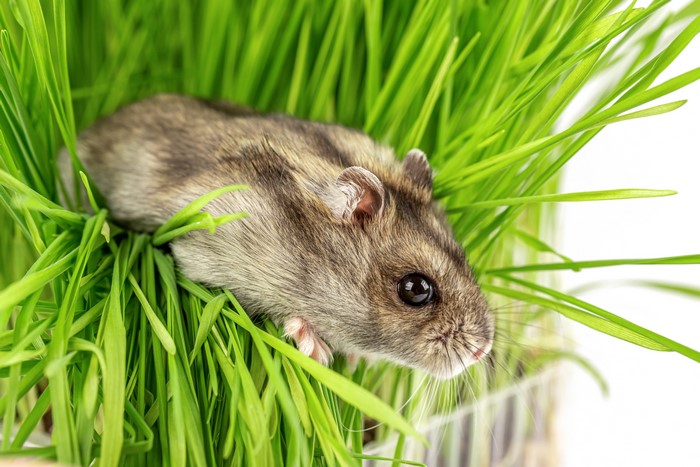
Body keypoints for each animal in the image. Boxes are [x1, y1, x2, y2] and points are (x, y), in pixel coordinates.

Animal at [62, 94, 494, 379]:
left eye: (463, 254)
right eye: (415, 289)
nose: (482, 351)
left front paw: (359, 360)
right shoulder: (208, 253)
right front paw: (319, 350)